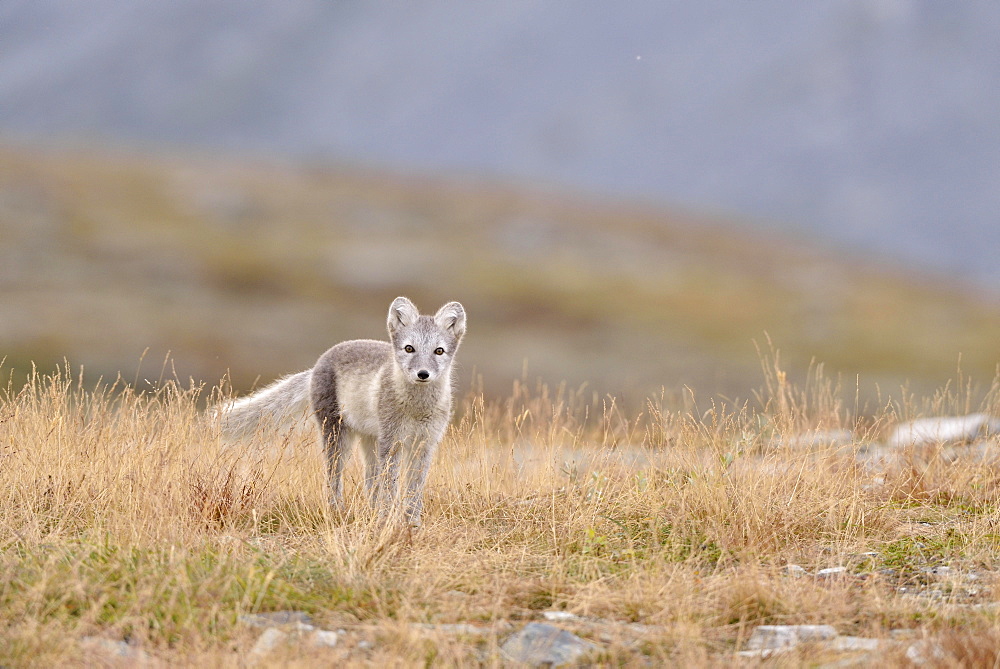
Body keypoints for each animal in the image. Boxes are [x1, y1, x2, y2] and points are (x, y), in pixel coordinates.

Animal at [218, 298, 464, 528]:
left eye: (439, 351)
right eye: (409, 348)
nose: (423, 374)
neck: (417, 409)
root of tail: (317, 365)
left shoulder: (425, 443)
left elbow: (414, 488)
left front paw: (412, 523)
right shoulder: (392, 441)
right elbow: (390, 485)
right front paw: (389, 521)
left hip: (370, 440)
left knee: (369, 480)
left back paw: (372, 511)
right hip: (337, 435)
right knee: (333, 476)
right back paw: (338, 510)